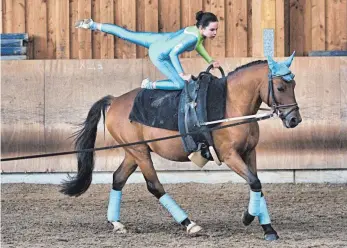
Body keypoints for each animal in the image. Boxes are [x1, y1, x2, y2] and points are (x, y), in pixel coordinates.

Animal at [61, 53, 302, 241]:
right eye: (280, 87)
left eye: (294, 85)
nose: (294, 119)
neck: (231, 105)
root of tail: (115, 100)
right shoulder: (229, 155)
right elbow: (254, 182)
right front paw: (247, 217)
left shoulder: (249, 153)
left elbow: (258, 185)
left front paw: (268, 229)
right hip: (140, 153)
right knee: (154, 186)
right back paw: (189, 224)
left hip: (134, 152)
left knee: (118, 178)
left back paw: (117, 223)